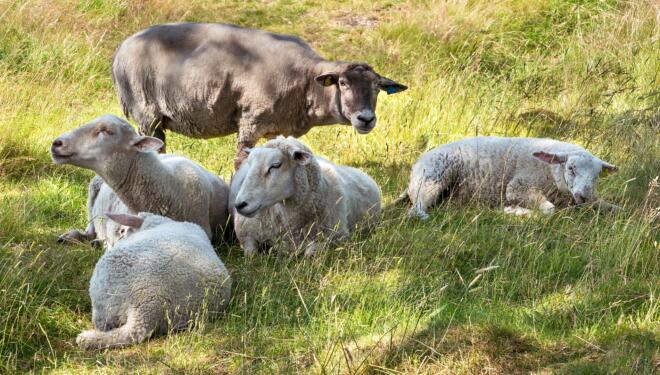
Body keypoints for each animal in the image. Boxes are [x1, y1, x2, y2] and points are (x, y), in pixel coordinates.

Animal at [113, 22, 408, 168]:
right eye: (343, 83)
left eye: (377, 87)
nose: (366, 119)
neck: (306, 81)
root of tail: (120, 51)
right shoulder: (251, 121)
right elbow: (241, 163)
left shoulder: (277, 128)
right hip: (146, 112)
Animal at [231, 137, 382, 258]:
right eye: (249, 165)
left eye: (276, 165)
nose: (240, 204)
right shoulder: (246, 234)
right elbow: (251, 254)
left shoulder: (334, 238)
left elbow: (310, 253)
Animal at [398, 136, 620, 219]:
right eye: (571, 168)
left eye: (597, 175)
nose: (584, 196)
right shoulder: (518, 187)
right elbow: (549, 210)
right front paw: (514, 211)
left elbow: (614, 207)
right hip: (432, 179)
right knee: (415, 211)